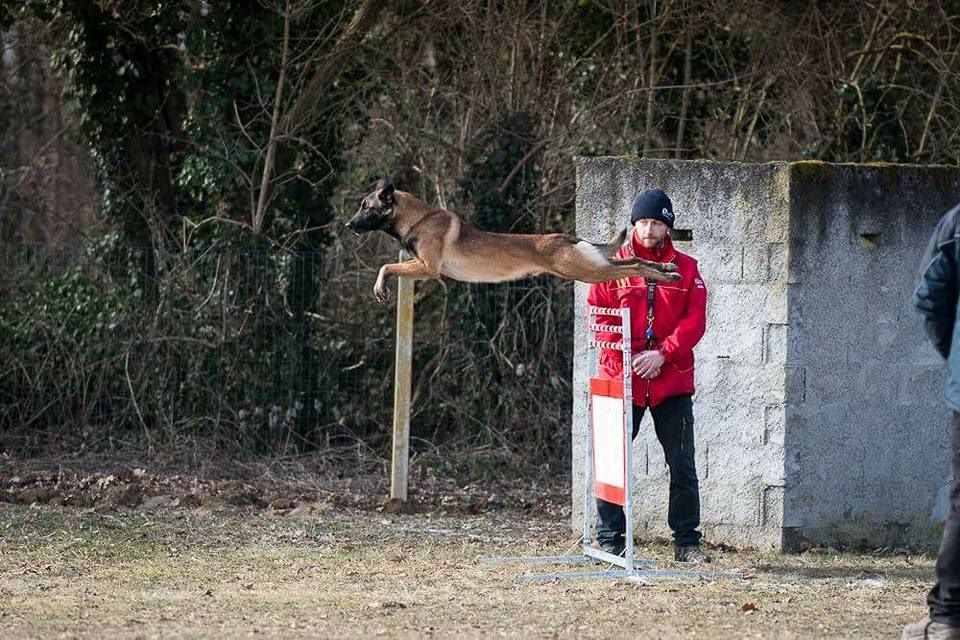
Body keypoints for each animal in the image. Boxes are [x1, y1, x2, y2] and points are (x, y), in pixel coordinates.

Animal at [344, 178, 684, 302]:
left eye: (366, 207)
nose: (348, 225)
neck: (418, 218)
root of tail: (567, 237)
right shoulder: (421, 265)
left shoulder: (427, 267)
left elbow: (386, 267)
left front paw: (380, 287)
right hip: (592, 265)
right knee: (635, 258)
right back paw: (667, 268)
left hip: (586, 271)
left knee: (635, 267)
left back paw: (663, 275)